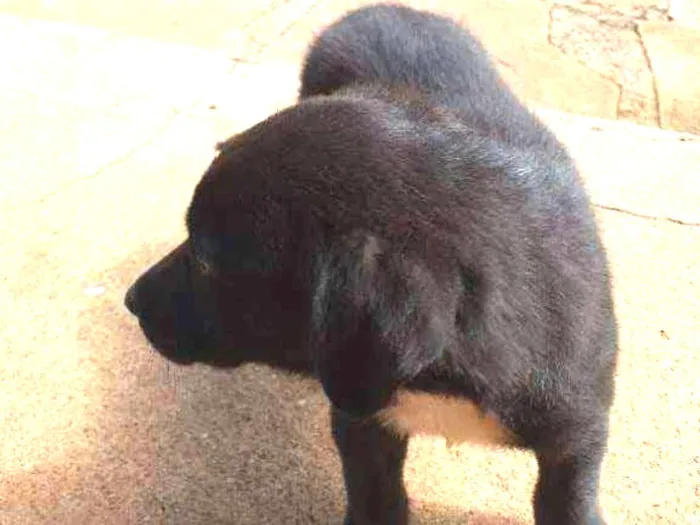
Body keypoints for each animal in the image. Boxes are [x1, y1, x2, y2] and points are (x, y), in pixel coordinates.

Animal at [126, 5, 616, 524]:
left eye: (205, 260)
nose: (130, 300)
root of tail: (383, 9)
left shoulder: (576, 433)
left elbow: (568, 500)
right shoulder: (363, 423)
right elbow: (375, 496)